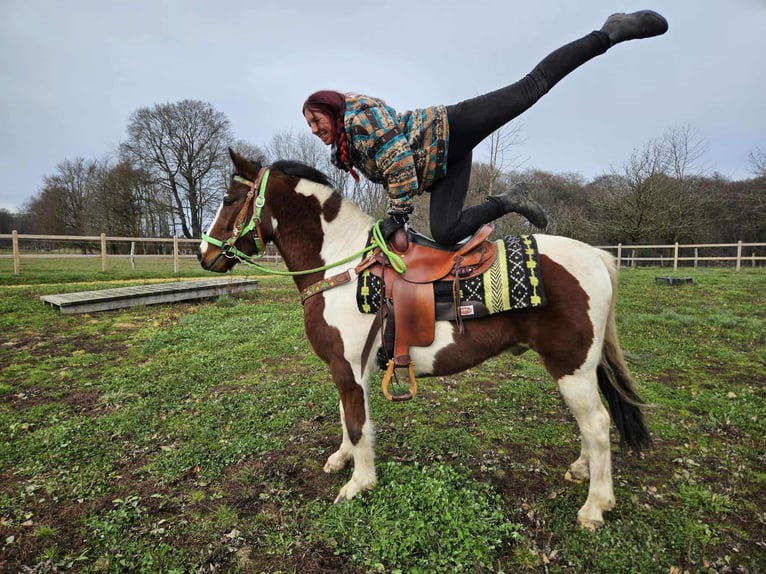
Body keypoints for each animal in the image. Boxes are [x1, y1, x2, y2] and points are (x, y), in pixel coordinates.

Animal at [198, 149, 652, 530]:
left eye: (227, 199)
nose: (205, 255)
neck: (342, 265)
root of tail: (596, 256)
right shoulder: (348, 371)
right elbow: (347, 417)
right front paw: (342, 459)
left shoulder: (350, 368)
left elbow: (358, 424)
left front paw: (359, 483)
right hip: (578, 370)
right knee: (591, 424)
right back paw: (581, 470)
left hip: (571, 368)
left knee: (597, 424)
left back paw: (595, 506)